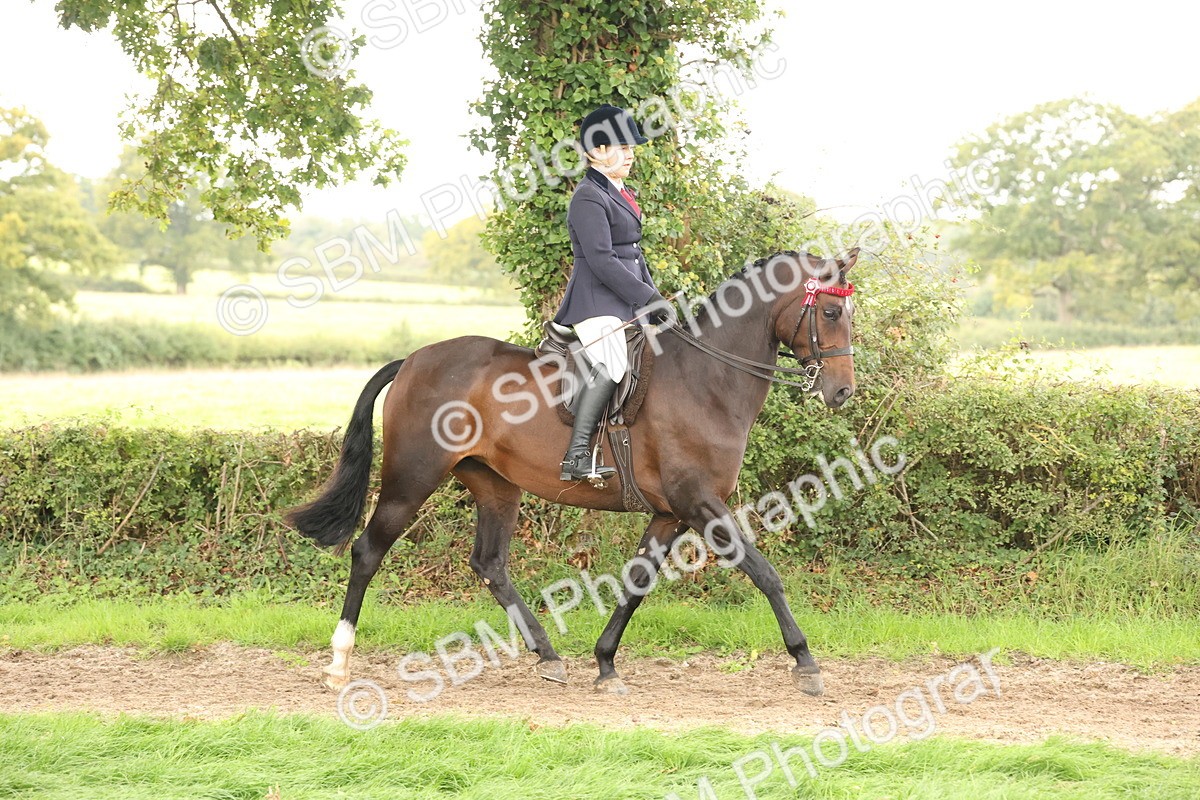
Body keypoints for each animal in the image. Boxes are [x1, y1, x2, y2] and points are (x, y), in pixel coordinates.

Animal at [286, 247, 859, 697]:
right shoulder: (699, 502)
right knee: (368, 551)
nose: (842, 391)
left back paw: (548, 656)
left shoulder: (671, 513)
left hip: (495, 485)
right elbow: (765, 574)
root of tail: (411, 361)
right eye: (831, 311)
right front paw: (805, 662)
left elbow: (636, 582)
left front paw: (605, 663)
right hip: (412, 479)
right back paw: (339, 663)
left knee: (489, 564)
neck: (706, 379)